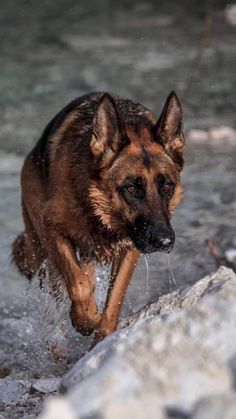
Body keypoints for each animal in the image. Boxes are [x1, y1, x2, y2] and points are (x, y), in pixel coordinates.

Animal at [12, 92, 184, 344]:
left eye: (166, 186)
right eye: (131, 188)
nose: (164, 241)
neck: (97, 210)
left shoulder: (130, 248)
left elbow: (114, 301)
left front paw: (101, 333)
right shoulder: (52, 230)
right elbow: (79, 285)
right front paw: (86, 319)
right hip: (42, 249)